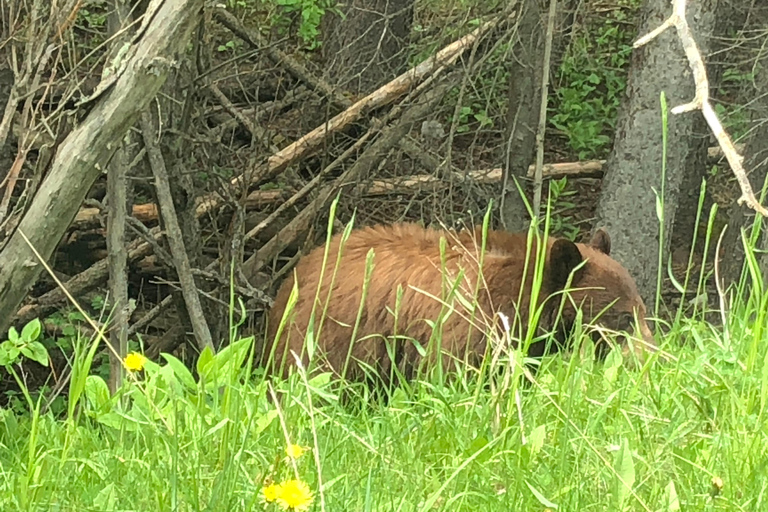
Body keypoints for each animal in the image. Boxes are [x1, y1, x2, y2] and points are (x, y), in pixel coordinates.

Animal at [260, 222, 656, 382]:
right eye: (623, 317)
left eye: (643, 310)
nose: (651, 358)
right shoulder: (471, 324)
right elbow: (456, 374)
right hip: (329, 338)